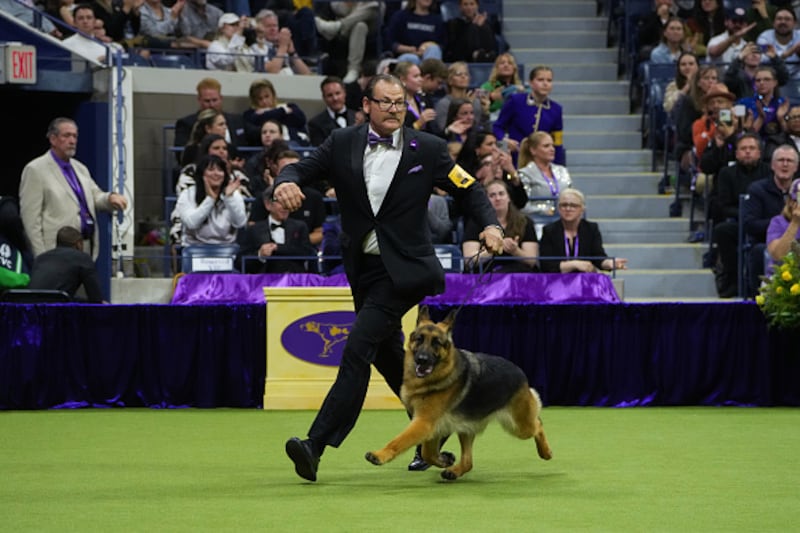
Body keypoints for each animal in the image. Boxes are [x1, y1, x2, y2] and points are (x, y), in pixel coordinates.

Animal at [366, 306, 552, 480]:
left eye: (436, 343)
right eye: (419, 339)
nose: (422, 360)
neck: (436, 378)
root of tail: (519, 371)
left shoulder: (423, 422)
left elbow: (399, 441)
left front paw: (380, 455)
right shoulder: (430, 425)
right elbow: (427, 452)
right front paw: (443, 460)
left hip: (519, 426)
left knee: (538, 424)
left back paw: (546, 452)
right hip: (467, 428)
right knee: (468, 461)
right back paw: (454, 472)